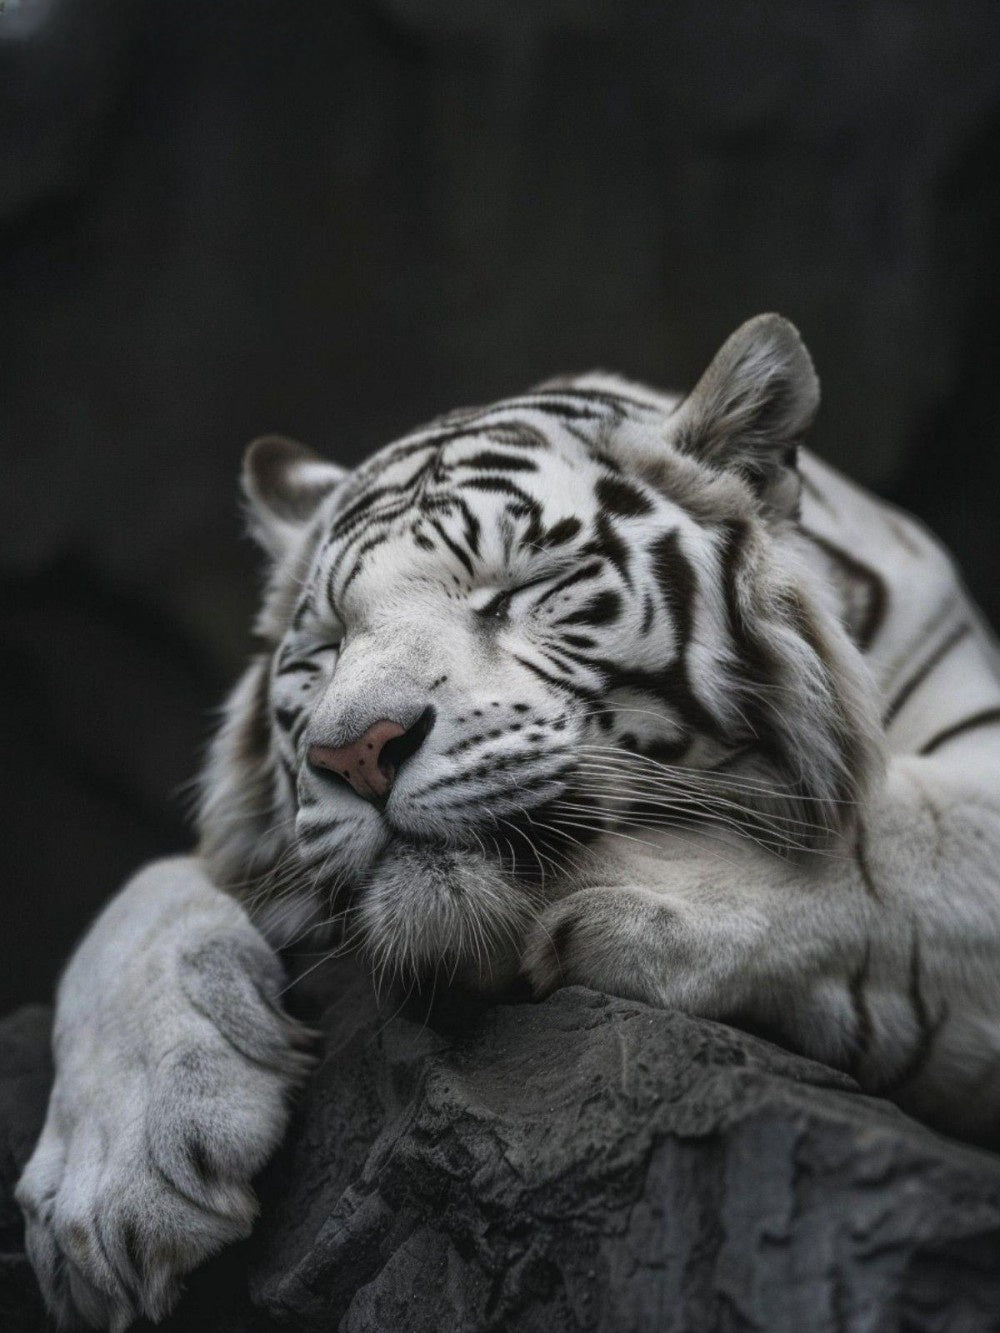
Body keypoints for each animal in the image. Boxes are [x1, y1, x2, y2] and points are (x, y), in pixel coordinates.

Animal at [18, 314, 1000, 1331]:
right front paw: (115, 1186)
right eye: (327, 644)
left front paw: (617, 894)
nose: (355, 750)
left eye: (521, 590)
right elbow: (142, 896)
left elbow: (891, 836)